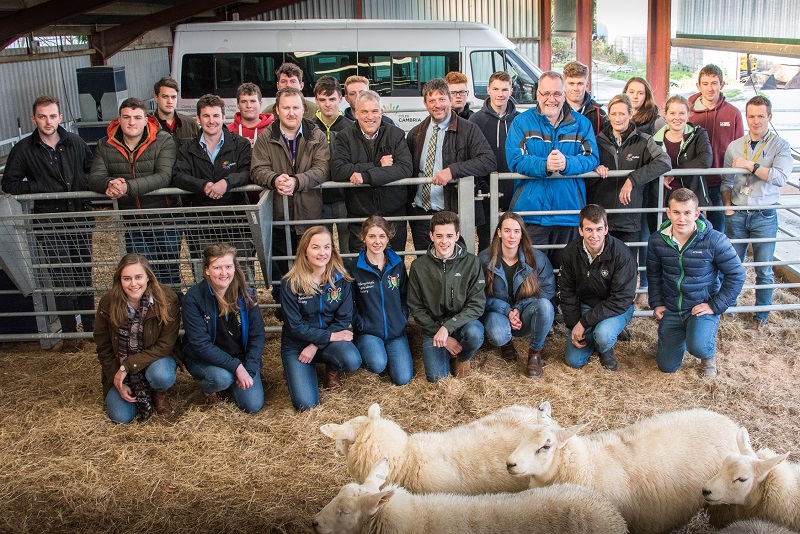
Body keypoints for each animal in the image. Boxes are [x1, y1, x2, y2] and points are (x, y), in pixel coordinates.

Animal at [506, 410, 736, 534]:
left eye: (546, 446)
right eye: (522, 436)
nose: (510, 464)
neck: (587, 465)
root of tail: (729, 422)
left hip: (723, 507)